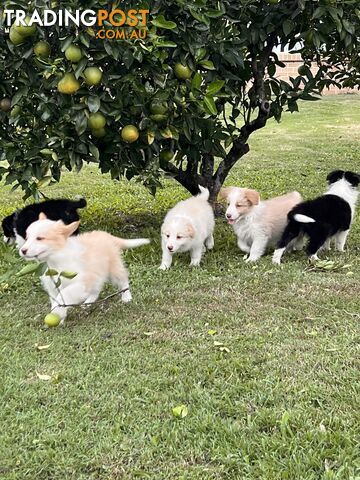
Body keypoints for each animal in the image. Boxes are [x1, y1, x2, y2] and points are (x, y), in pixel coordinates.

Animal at [20, 215, 149, 324]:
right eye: (27, 238)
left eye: (40, 238)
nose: (22, 250)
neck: (55, 259)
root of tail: (107, 235)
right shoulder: (53, 286)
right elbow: (56, 300)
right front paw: (60, 317)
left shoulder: (81, 282)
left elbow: (65, 294)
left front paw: (57, 313)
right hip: (97, 274)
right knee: (96, 290)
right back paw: (87, 303)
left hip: (114, 269)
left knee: (123, 280)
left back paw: (126, 297)